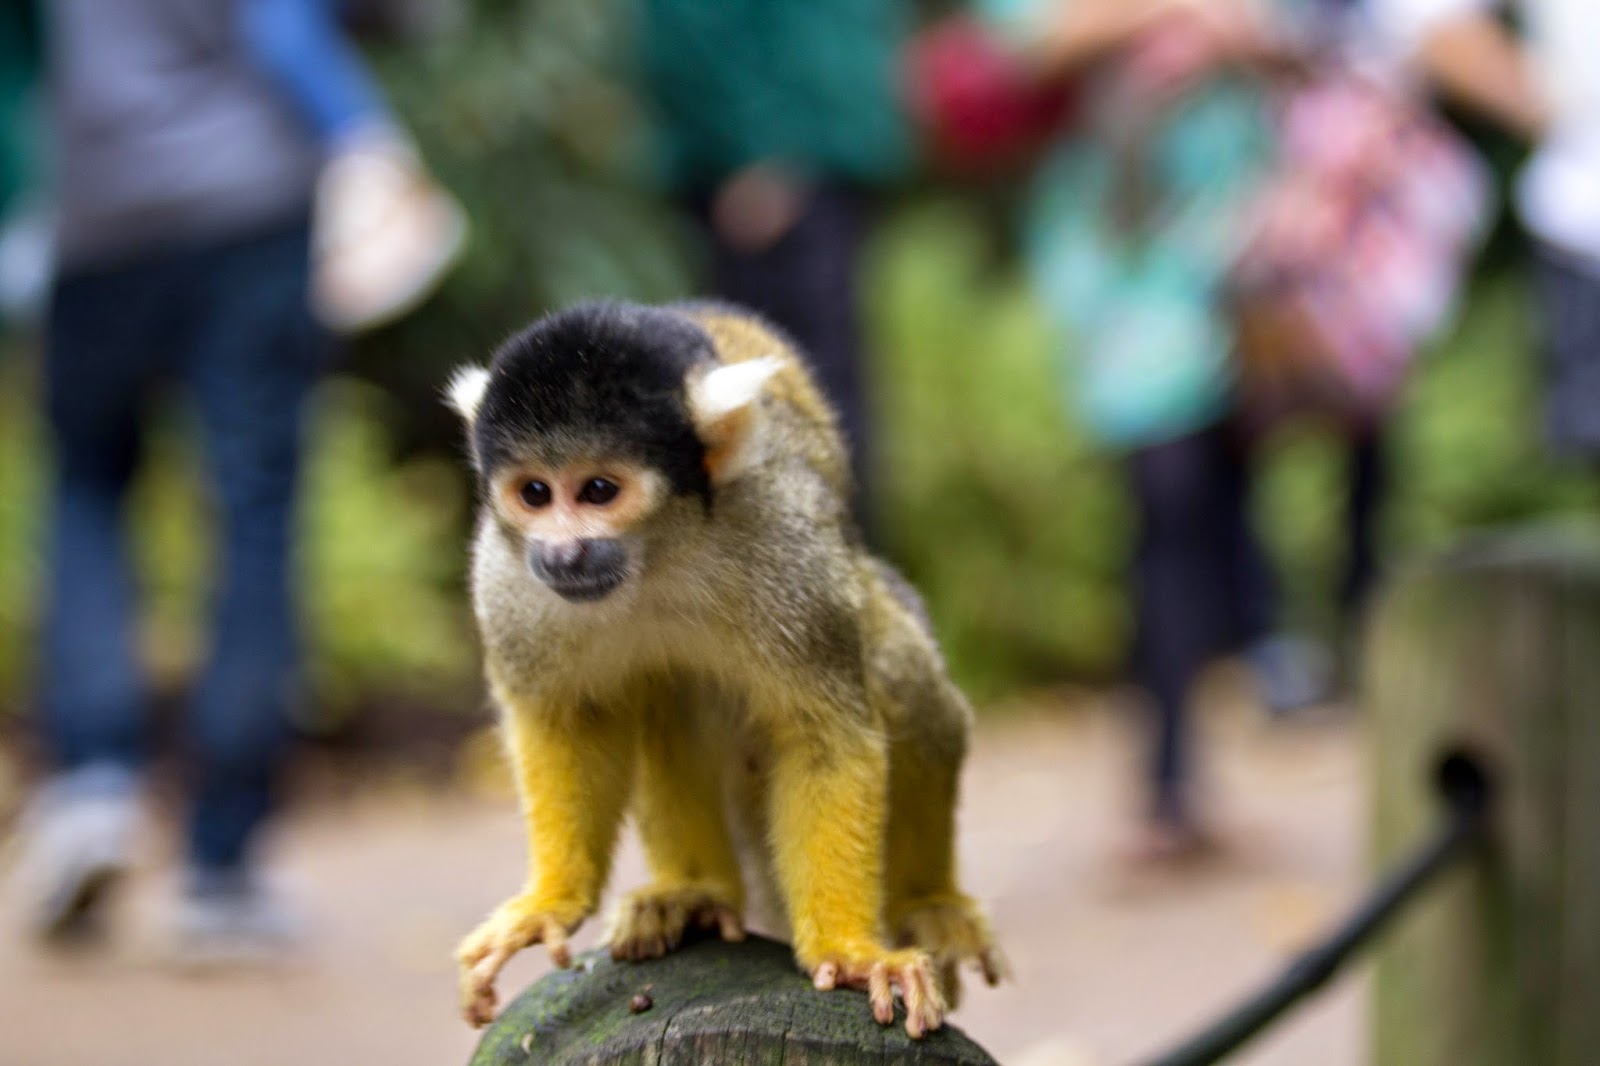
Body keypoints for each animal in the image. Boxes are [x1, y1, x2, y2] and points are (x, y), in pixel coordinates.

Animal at [446, 300, 1006, 1039]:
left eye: (598, 490)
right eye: (535, 493)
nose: (563, 555)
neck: (656, 555)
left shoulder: (784, 544)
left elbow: (824, 732)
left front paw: (852, 955)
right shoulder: (504, 577)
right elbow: (564, 720)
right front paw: (551, 902)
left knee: (898, 671)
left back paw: (929, 903)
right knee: (663, 691)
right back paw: (695, 892)